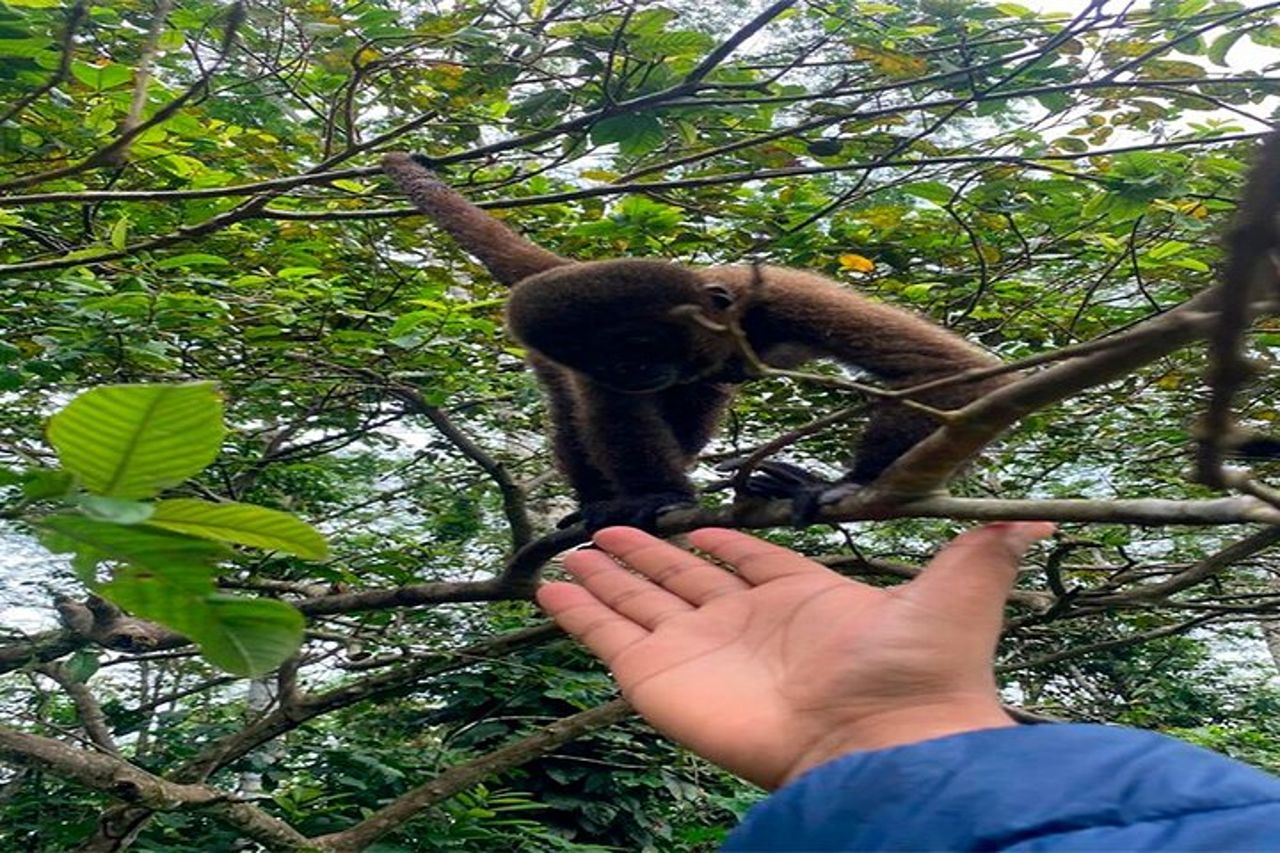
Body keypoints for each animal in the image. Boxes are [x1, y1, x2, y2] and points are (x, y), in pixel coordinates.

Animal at [382, 152, 1011, 529]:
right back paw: (598, 503)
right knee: (578, 417)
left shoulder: (783, 295)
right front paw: (659, 496)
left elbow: (938, 365)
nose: (630, 373)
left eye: (638, 343)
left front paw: (854, 482)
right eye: (601, 357)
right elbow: (617, 416)